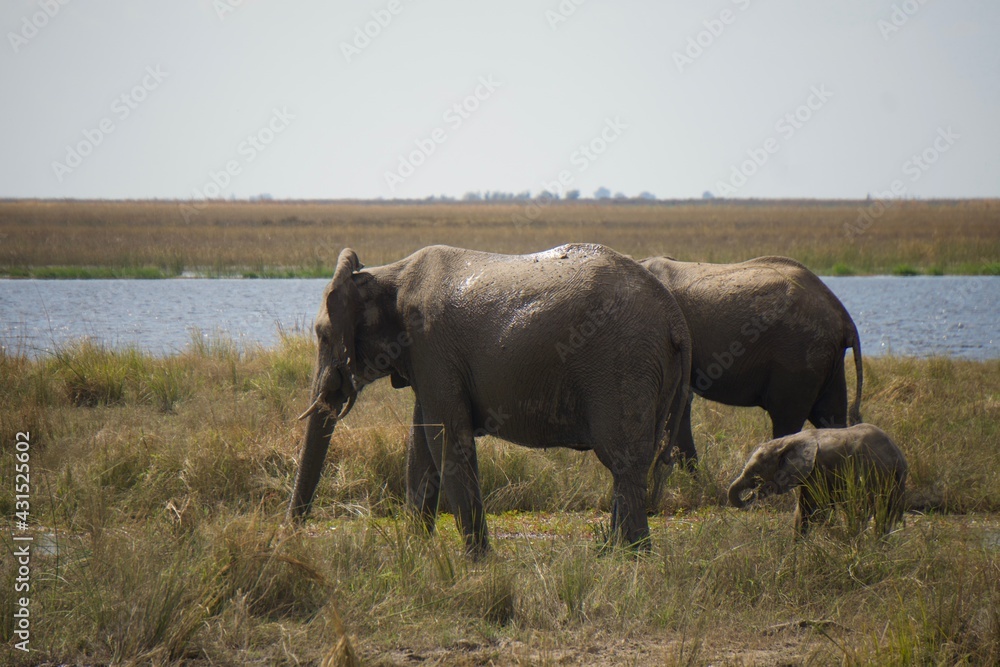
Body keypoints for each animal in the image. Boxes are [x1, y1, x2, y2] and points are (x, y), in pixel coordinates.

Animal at [287, 244, 692, 555]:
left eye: (323, 336)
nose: (292, 535)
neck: (387, 274)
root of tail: (675, 319)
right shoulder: (425, 362)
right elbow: (422, 448)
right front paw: (416, 553)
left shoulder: (432, 348)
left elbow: (447, 440)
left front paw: (476, 561)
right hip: (653, 371)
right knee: (632, 464)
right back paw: (612, 553)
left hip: (623, 364)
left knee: (623, 462)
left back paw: (632, 558)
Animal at [727, 424, 907, 535]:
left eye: (757, 473)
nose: (751, 495)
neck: (787, 440)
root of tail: (898, 455)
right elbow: (802, 512)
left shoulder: (817, 470)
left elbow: (817, 509)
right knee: (885, 514)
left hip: (875, 476)